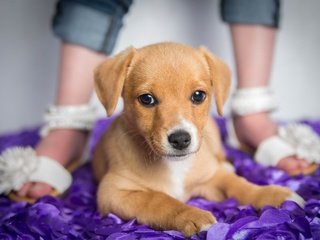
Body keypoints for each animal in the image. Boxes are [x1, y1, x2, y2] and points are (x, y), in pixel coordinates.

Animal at [92, 41, 302, 236]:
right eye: (146, 99)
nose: (180, 139)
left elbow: (239, 184)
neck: (174, 165)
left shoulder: (212, 178)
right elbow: (157, 200)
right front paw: (192, 215)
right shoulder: (113, 191)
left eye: (198, 96)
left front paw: (273, 194)